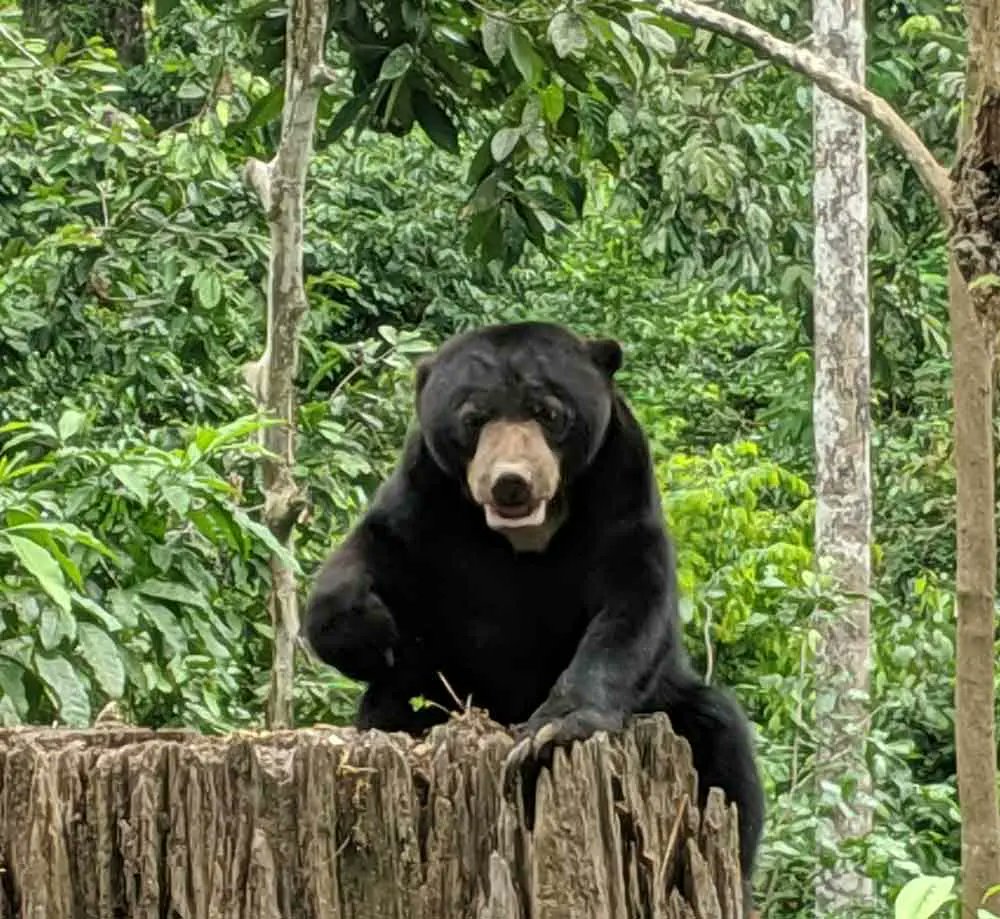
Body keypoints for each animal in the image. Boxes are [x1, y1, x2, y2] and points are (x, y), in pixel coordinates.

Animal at [304, 322, 764, 904]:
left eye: (549, 413)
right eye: (473, 418)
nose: (511, 483)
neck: (528, 533)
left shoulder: (621, 482)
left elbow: (633, 600)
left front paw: (552, 732)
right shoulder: (425, 489)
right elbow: (378, 545)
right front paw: (369, 633)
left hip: (671, 710)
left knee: (722, 750)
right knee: (390, 710)